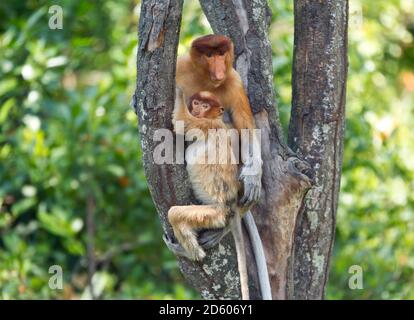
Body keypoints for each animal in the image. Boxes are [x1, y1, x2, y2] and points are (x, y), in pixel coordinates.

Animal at [167, 88, 251, 300]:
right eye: (197, 103)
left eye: (205, 105)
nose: (197, 109)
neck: (216, 119)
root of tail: (230, 204)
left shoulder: (207, 125)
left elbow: (181, 121)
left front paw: (179, 92)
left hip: (213, 213)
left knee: (175, 214)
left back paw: (189, 252)